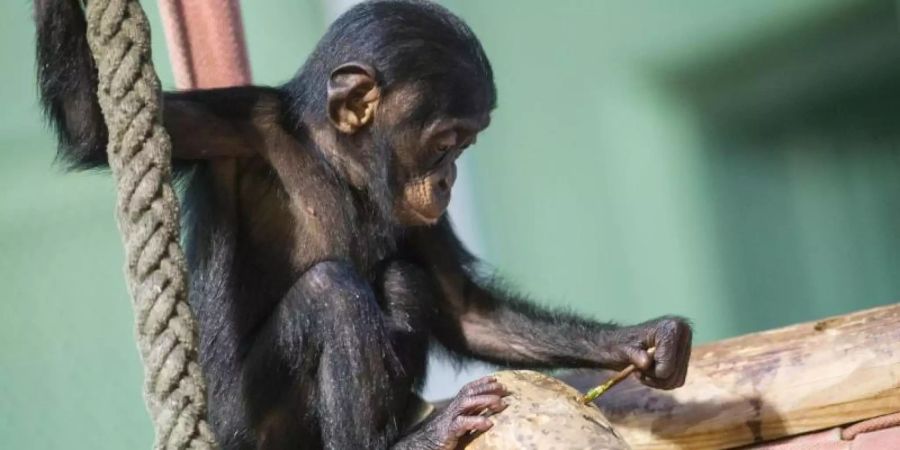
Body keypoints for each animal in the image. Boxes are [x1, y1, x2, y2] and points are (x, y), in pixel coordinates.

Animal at [35, 0, 692, 450]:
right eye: (447, 142)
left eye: (466, 145)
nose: (451, 177)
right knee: (332, 294)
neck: (335, 158)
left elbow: (466, 310)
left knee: (406, 280)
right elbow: (90, 124)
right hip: (243, 426)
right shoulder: (231, 125)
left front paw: (647, 342)